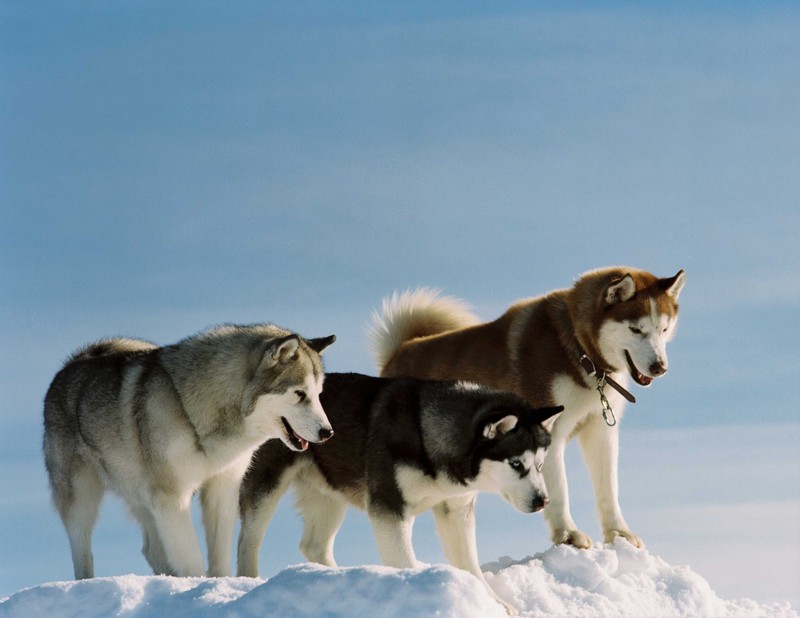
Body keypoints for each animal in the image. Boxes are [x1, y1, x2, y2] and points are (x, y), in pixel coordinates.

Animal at [42, 324, 336, 580]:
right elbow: (192, 558)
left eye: (319, 393)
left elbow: (218, 558)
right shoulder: (172, 496)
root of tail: (74, 362)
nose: (328, 433)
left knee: (152, 549)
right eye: (299, 394)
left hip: (143, 498)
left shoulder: (220, 489)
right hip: (82, 499)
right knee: (83, 551)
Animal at [238, 370, 564, 612]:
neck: (427, 433)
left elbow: (469, 563)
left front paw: (494, 603)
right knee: (248, 540)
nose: (543, 501)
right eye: (516, 463)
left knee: (314, 545)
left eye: (540, 464)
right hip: (267, 483)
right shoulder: (388, 506)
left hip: (329, 494)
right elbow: (404, 560)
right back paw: (247, 581)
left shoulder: (455, 508)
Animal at [372, 268, 684, 548]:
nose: (660, 367)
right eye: (636, 329)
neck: (577, 347)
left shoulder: (600, 430)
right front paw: (568, 535)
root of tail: (398, 352)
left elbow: (608, 488)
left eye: (663, 329)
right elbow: (559, 490)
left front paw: (619, 535)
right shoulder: (549, 432)